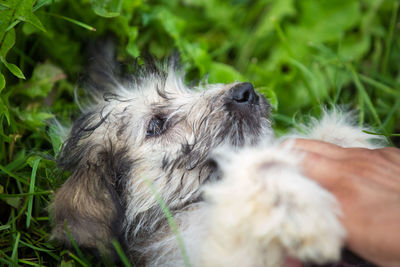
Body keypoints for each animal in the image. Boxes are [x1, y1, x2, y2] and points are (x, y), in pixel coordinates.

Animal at [50, 43, 382, 266]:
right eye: (155, 125)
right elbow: (253, 165)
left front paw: (353, 143)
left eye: (189, 87)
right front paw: (305, 214)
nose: (245, 91)